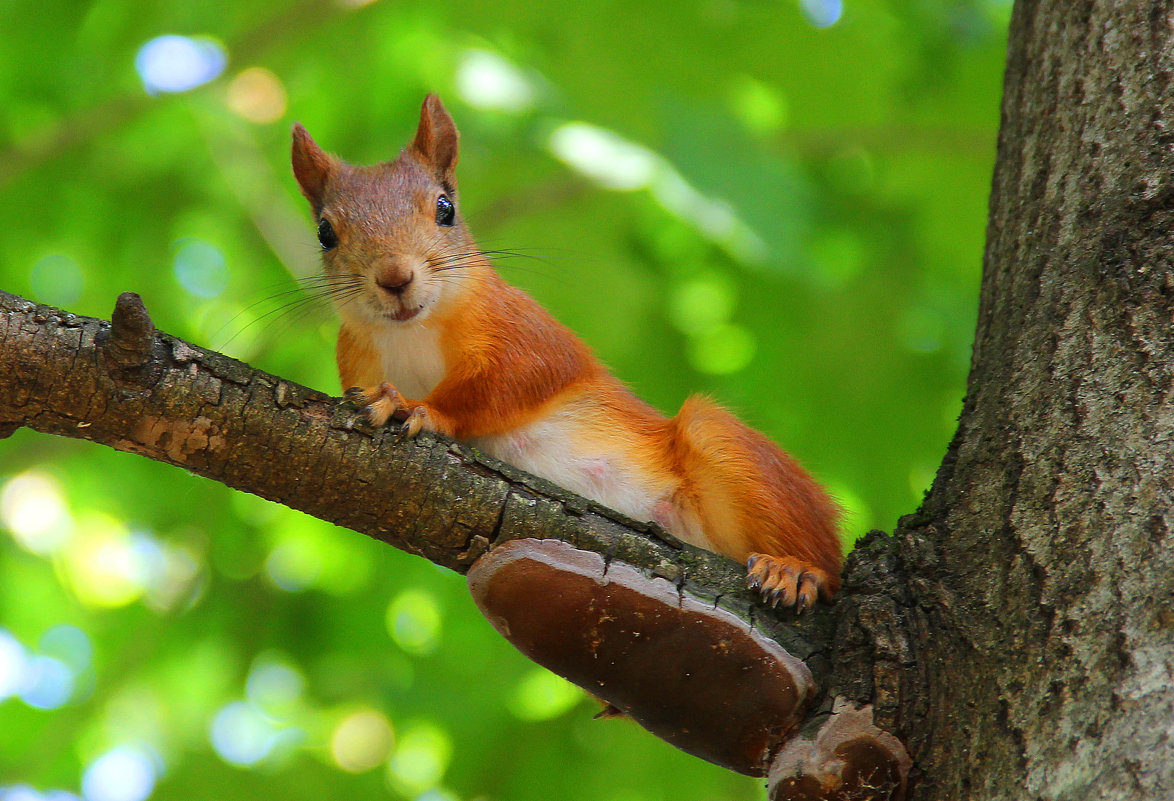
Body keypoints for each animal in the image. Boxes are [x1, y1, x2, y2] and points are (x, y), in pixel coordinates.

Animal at [293, 93, 845, 606]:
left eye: (445, 209)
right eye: (325, 233)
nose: (394, 277)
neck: (411, 334)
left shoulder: (530, 333)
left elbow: (510, 384)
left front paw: (414, 405)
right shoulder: (357, 359)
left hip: (727, 450)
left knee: (825, 561)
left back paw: (795, 569)